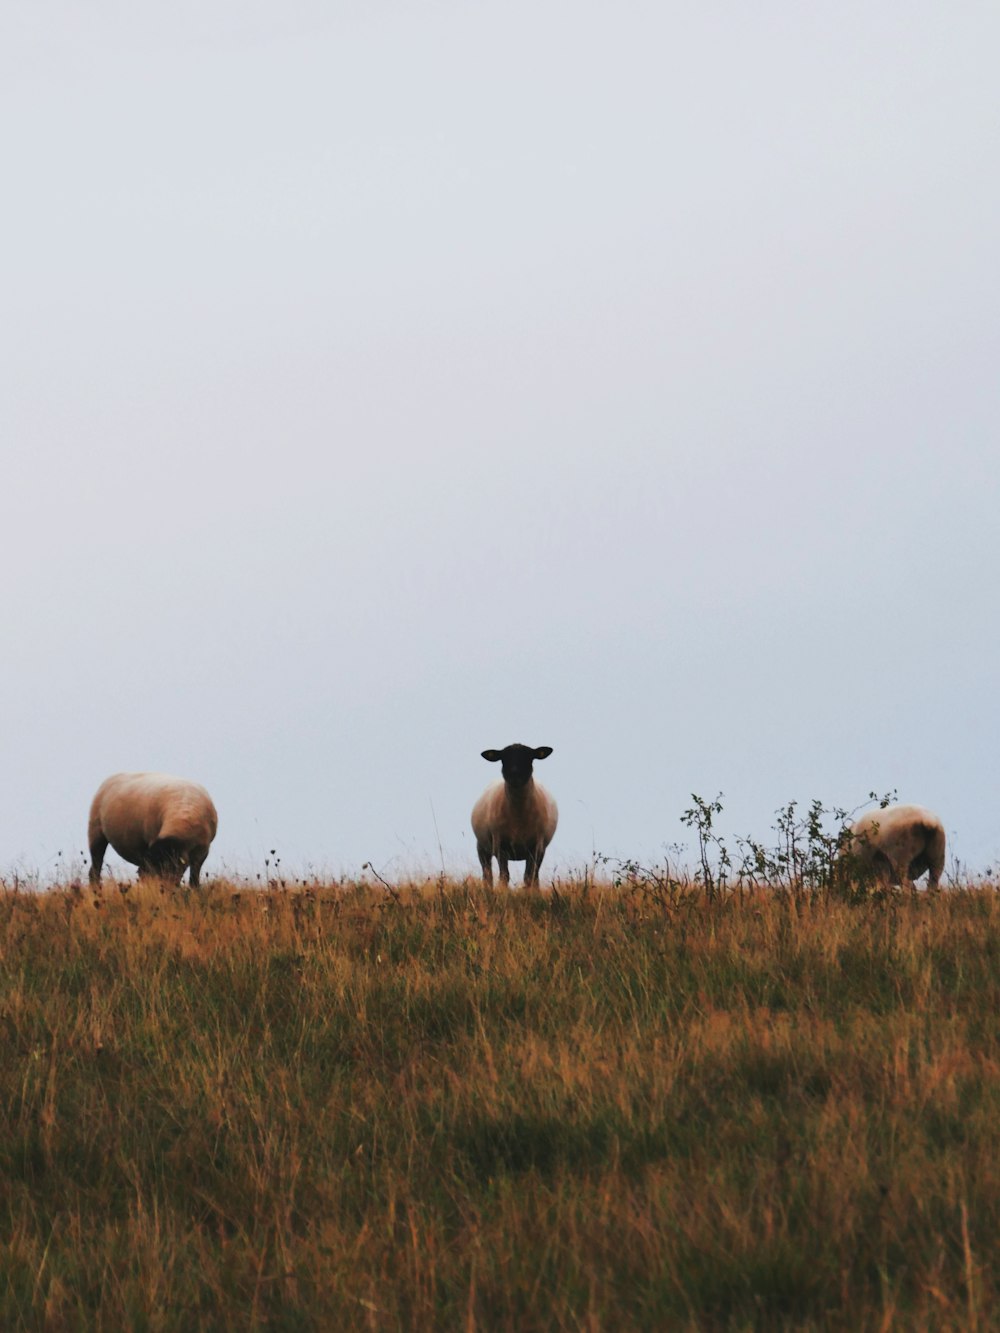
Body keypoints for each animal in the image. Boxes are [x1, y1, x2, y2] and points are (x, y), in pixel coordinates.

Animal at [474, 746, 560, 890]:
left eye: (529, 757)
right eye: (503, 758)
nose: (515, 774)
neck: (518, 818)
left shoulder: (536, 846)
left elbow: (529, 877)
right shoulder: (500, 845)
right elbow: (504, 876)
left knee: (535, 875)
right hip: (482, 846)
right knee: (487, 874)